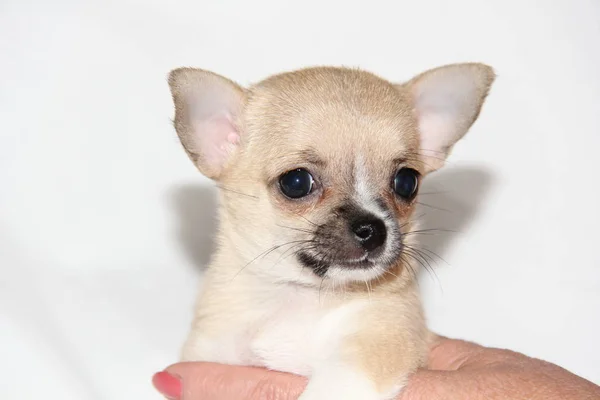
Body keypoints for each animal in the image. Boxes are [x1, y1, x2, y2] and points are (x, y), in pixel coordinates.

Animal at [166, 63, 494, 400]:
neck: (298, 300)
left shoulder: (383, 336)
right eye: (296, 182)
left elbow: (341, 380)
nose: (372, 228)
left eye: (406, 182)